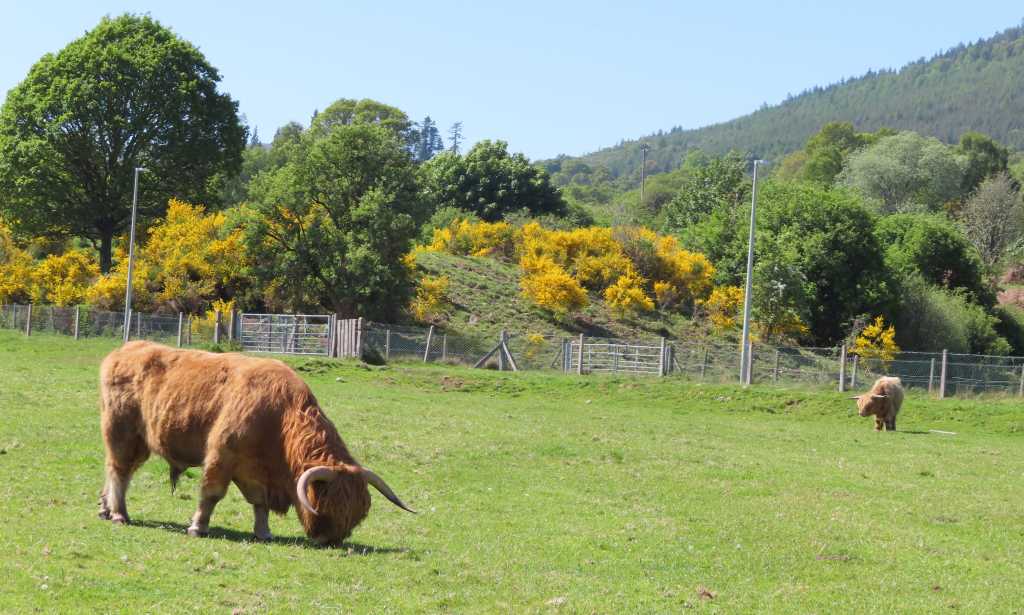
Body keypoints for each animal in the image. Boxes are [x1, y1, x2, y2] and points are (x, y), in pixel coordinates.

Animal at [97, 341, 414, 545]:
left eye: (358, 513)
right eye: (326, 503)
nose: (332, 539)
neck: (280, 413)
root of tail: (122, 351)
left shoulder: (254, 470)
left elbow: (259, 502)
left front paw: (264, 532)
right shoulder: (222, 455)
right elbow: (211, 494)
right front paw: (198, 527)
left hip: (140, 442)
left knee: (118, 472)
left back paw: (105, 508)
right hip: (122, 434)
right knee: (119, 471)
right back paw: (119, 514)